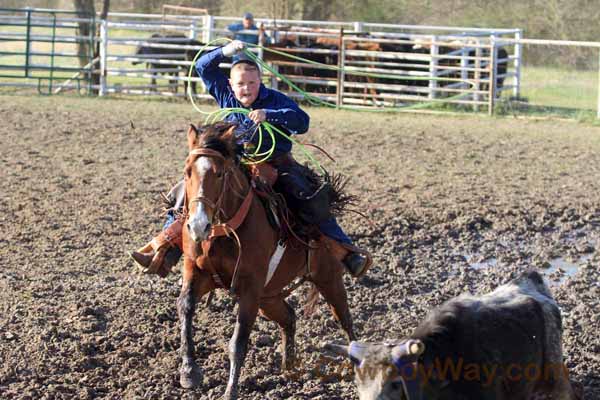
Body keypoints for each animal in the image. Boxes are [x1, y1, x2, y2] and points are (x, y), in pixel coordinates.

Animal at [178, 122, 356, 400]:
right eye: (187, 172)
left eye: (220, 174)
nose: (198, 225)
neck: (223, 232)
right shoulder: (196, 271)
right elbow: (185, 307)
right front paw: (189, 372)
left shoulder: (250, 289)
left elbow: (238, 343)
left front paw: (230, 391)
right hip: (268, 297)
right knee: (289, 317)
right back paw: (289, 366)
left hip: (327, 277)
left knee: (345, 319)